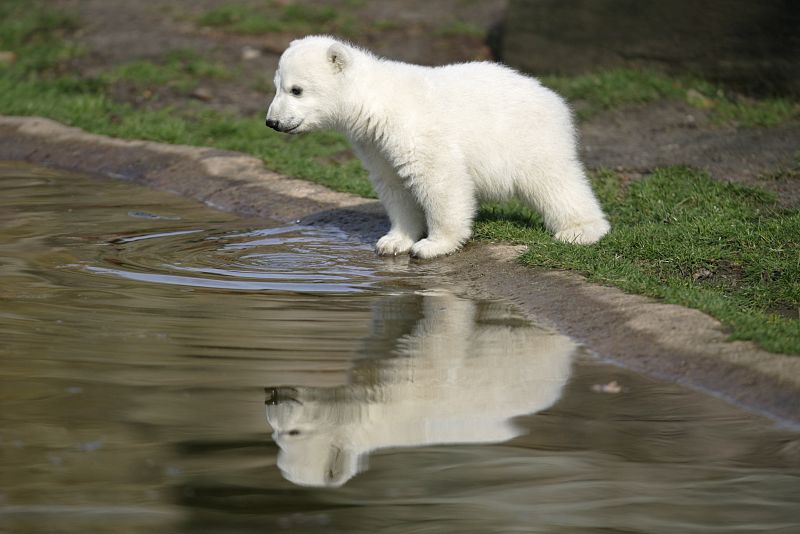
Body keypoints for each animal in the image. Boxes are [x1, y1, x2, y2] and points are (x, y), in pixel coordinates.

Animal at [265, 36, 610, 259]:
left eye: (296, 90)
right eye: (277, 86)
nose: (272, 122)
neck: (374, 100)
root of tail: (552, 96)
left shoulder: (413, 128)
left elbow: (438, 179)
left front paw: (433, 245)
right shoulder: (374, 143)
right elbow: (394, 185)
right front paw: (393, 241)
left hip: (528, 135)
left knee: (554, 181)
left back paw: (580, 231)